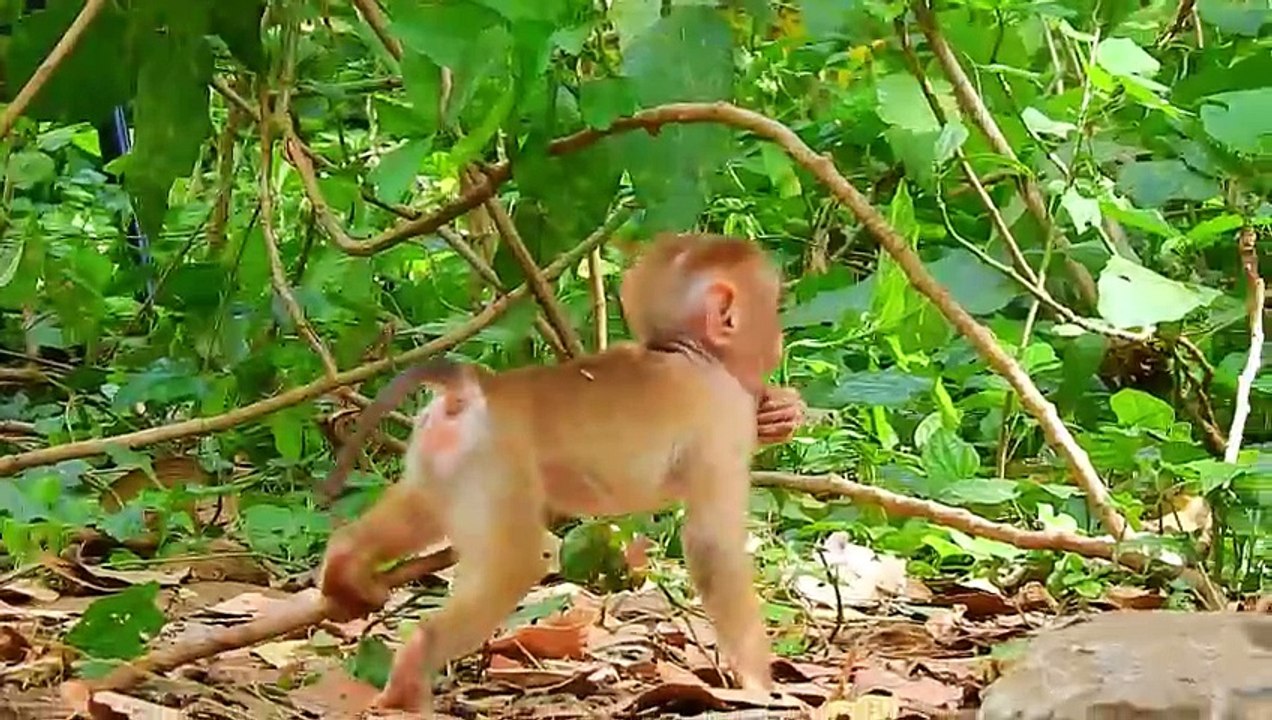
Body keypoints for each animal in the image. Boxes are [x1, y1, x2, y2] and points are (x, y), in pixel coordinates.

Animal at [318, 233, 798, 715]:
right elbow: (712, 548)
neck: (689, 354)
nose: (778, 338)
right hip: (496, 463)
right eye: (771, 306)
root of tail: (476, 390)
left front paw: (781, 412)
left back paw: (345, 564)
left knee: (421, 509)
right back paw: (413, 672)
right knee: (519, 558)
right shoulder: (723, 416)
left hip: (445, 456)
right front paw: (760, 685)